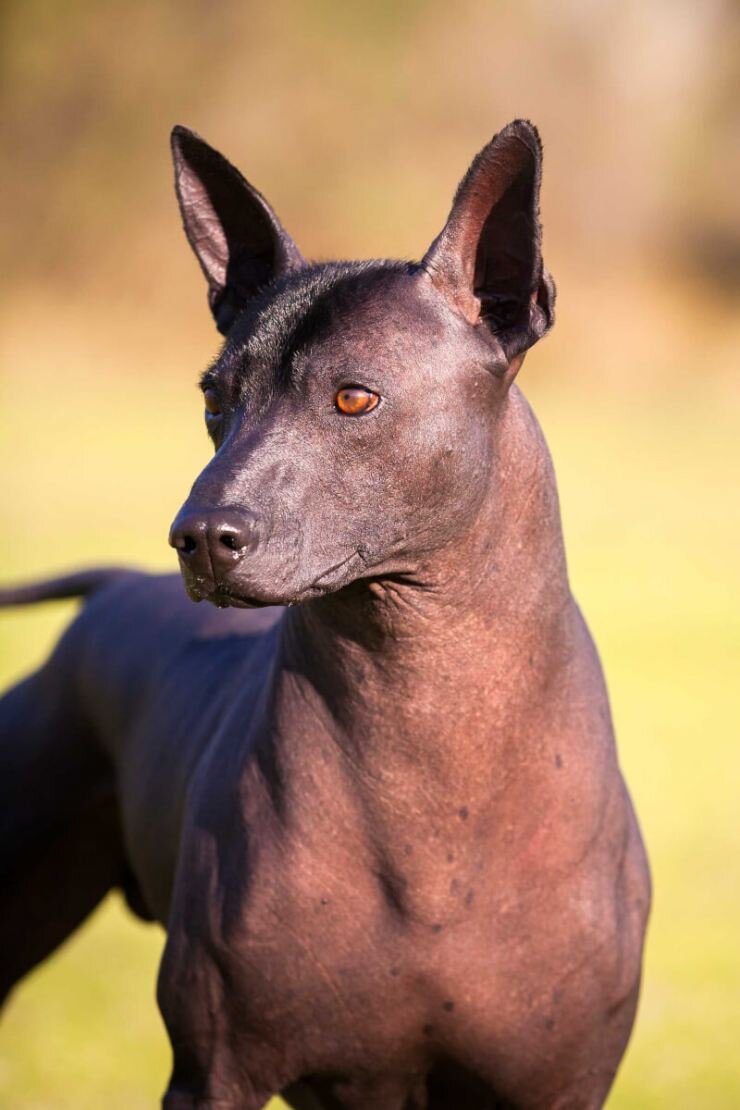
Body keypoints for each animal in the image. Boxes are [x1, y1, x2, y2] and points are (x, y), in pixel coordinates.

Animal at [0, 117, 647, 1105]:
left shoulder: (558, 1085)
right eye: (214, 399)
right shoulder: (213, 1072)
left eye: (355, 396)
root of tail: (116, 589)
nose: (198, 535)